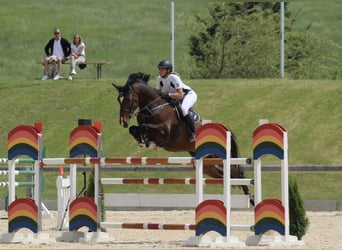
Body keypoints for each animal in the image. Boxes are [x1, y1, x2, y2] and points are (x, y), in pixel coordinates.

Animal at [113, 71, 254, 204]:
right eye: (119, 100)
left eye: (128, 99)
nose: (123, 121)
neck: (153, 107)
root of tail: (223, 128)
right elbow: (134, 129)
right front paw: (143, 140)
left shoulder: (165, 132)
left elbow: (144, 127)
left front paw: (147, 141)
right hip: (207, 162)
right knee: (225, 175)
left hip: (220, 156)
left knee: (237, 172)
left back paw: (251, 199)